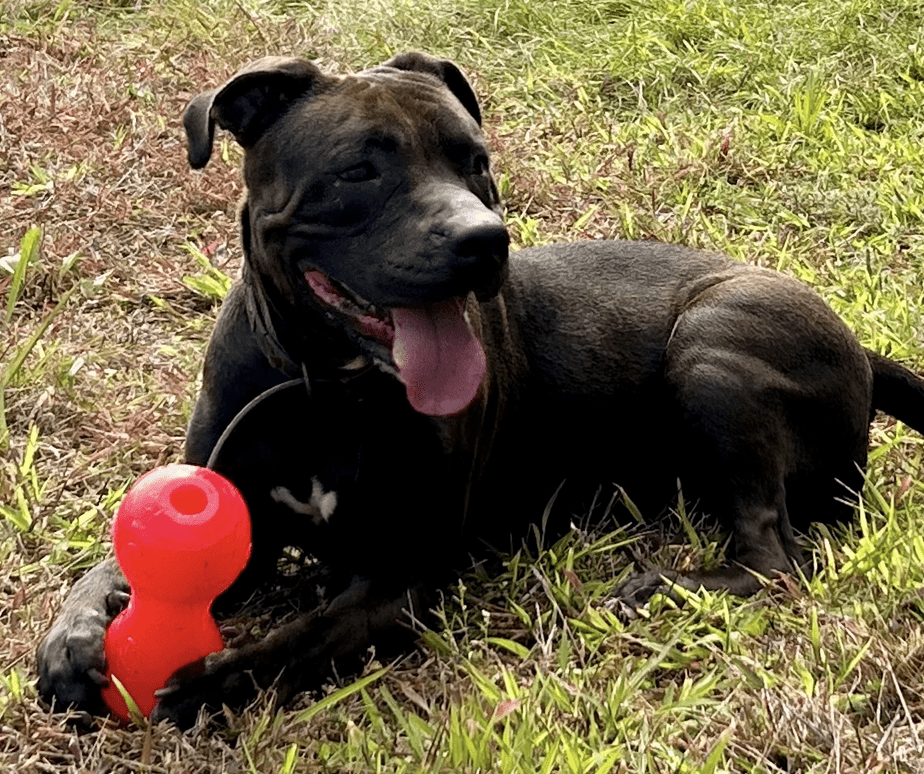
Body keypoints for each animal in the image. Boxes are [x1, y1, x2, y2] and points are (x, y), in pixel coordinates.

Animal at [34, 53, 924, 728]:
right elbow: (109, 567)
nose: (483, 240)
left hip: (711, 351)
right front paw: (74, 638)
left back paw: (663, 585)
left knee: (773, 558)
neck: (323, 388)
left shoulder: (398, 579)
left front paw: (218, 680)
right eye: (356, 169)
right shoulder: (239, 527)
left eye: (476, 162)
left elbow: (302, 638)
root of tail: (861, 349)